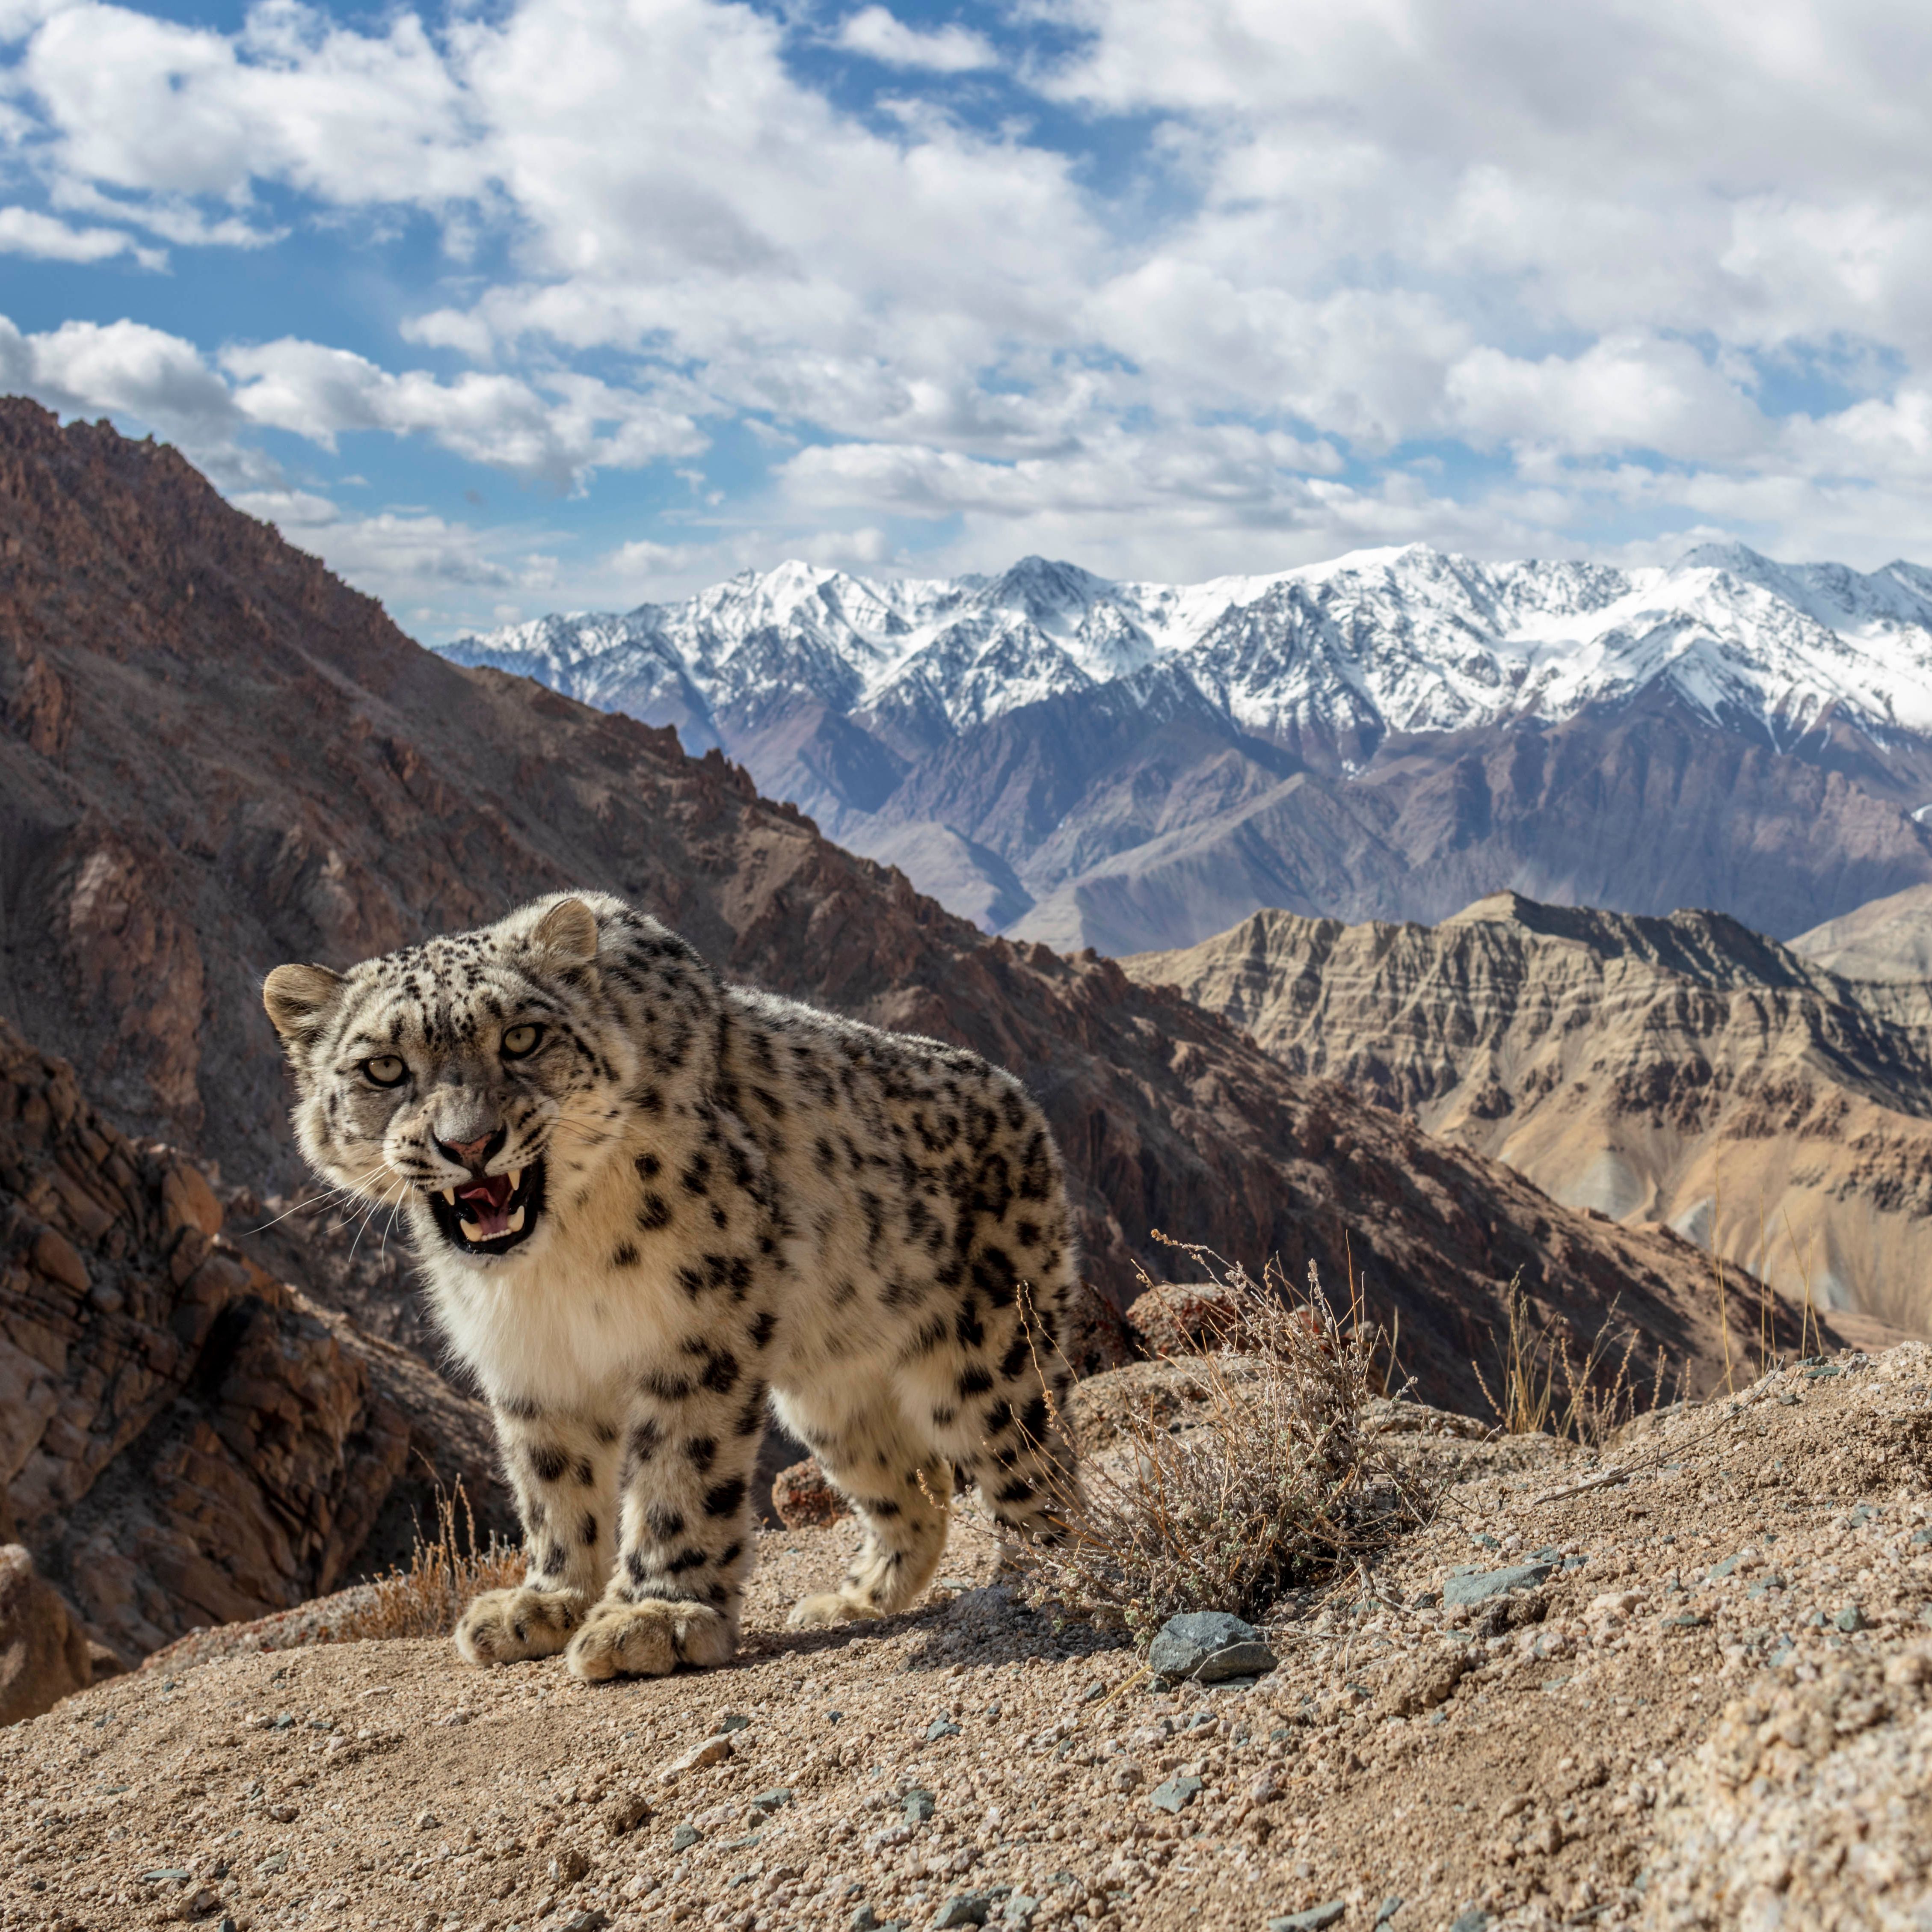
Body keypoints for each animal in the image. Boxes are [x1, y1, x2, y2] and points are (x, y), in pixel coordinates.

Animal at [262, 891, 1080, 1682]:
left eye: (522, 1039)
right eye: (383, 1068)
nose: (469, 1143)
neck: (556, 1262)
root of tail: (1023, 1101)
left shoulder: (699, 1323)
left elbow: (681, 1468)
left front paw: (653, 1618)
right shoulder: (530, 1359)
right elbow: (550, 1478)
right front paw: (546, 1602)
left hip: (990, 1356)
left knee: (1036, 1469)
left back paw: (1048, 1575)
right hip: (832, 1398)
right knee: (915, 1486)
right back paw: (852, 1601)